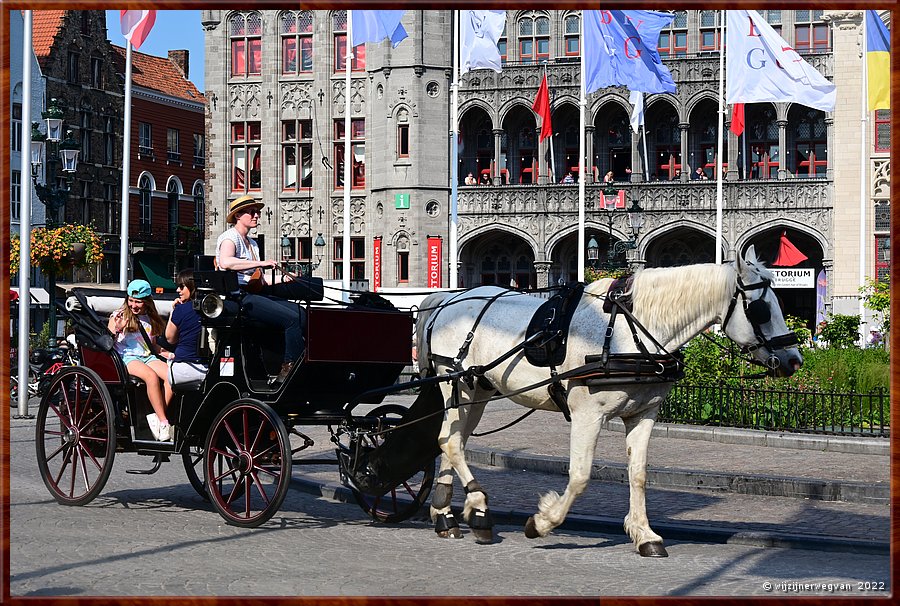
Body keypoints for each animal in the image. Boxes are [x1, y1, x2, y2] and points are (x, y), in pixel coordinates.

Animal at [414, 246, 800, 556]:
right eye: (762, 309)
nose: (795, 359)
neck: (632, 330)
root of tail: (447, 299)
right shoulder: (587, 414)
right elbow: (581, 475)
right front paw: (542, 522)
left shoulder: (644, 414)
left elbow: (638, 474)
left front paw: (645, 535)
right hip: (458, 386)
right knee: (451, 442)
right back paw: (477, 509)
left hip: (477, 390)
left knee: (451, 440)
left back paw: (448, 515)